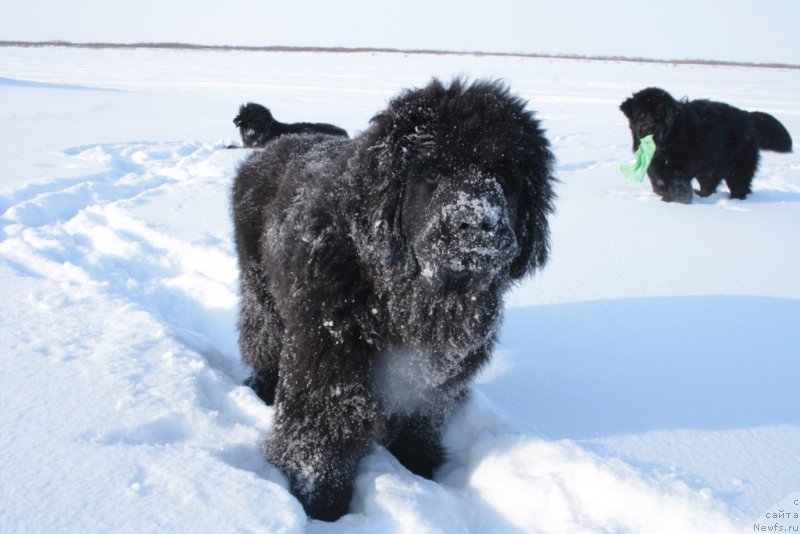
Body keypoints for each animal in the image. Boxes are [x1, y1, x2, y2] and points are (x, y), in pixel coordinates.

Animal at [231, 80, 556, 524]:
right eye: (433, 172)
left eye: (505, 177)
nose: (476, 222)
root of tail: (271, 148)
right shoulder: (327, 360)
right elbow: (318, 438)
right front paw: (319, 505)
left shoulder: (434, 375)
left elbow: (419, 423)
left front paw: (418, 469)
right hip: (259, 288)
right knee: (259, 335)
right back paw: (261, 384)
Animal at [620, 87, 792, 204]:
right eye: (641, 114)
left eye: (658, 116)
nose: (647, 128)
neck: (668, 139)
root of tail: (748, 115)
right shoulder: (655, 167)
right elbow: (658, 184)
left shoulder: (678, 169)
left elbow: (676, 187)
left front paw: (673, 201)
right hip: (710, 165)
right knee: (710, 183)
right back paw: (703, 195)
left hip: (737, 165)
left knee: (739, 184)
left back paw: (735, 200)